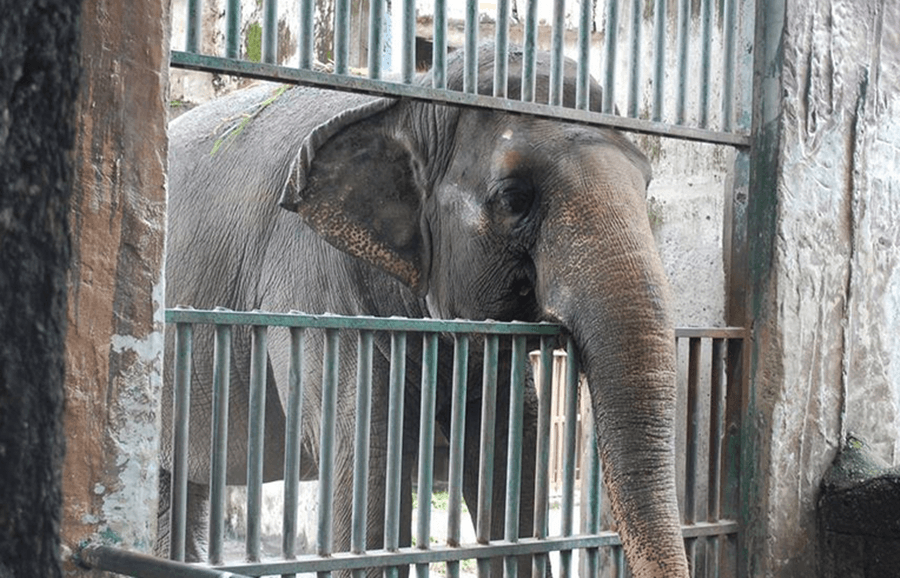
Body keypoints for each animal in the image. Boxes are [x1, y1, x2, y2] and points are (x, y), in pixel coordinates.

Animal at [159, 44, 689, 578]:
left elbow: (512, 447)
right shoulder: (314, 287)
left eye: (646, 184)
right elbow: (367, 461)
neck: (414, 99)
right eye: (514, 197)